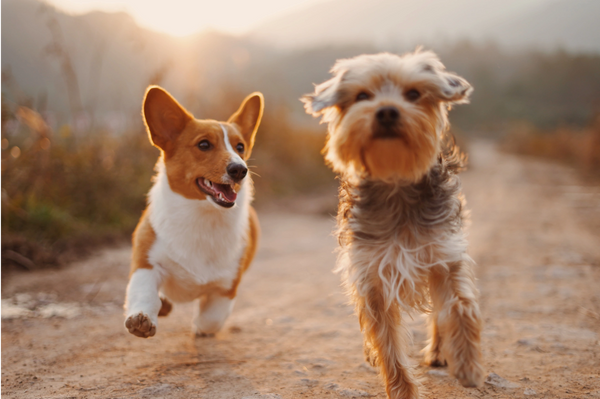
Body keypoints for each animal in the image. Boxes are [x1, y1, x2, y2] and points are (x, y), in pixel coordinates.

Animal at [124, 86, 262, 340]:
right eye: (204, 145)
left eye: (240, 147)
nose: (240, 170)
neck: (202, 215)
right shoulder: (146, 263)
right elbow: (144, 293)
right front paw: (141, 318)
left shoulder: (227, 287)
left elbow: (211, 319)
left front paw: (199, 327)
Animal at [302, 50, 486, 399]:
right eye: (362, 96)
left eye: (413, 94)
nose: (387, 111)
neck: (396, 182)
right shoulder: (371, 275)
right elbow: (387, 341)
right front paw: (403, 390)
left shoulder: (444, 255)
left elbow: (460, 306)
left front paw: (468, 363)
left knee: (439, 313)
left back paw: (440, 351)